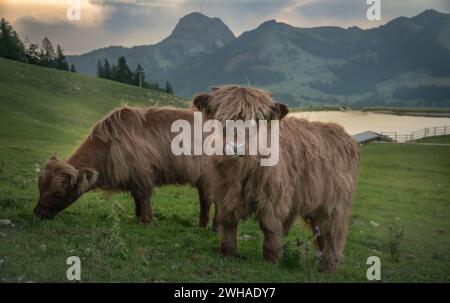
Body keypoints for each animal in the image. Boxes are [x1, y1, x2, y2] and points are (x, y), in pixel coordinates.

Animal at [33, 108, 216, 229]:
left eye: (58, 193)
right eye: (40, 187)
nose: (38, 213)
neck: (107, 147)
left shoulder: (142, 174)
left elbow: (144, 197)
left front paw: (145, 220)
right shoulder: (133, 178)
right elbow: (137, 198)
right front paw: (137, 214)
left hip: (210, 177)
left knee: (208, 200)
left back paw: (207, 225)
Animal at [192, 85, 358, 274]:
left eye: (257, 121)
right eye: (221, 118)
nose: (235, 147)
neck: (242, 169)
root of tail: (345, 134)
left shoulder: (273, 199)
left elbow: (269, 228)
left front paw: (271, 260)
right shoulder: (225, 193)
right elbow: (228, 223)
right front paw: (227, 252)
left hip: (334, 205)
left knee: (332, 234)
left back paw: (328, 267)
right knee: (320, 233)